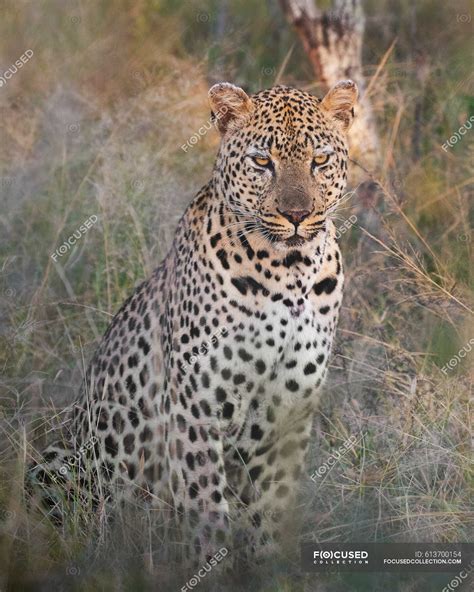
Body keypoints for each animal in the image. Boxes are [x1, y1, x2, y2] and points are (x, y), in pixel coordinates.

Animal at [27, 77, 358, 564]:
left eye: (320, 161)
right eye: (263, 162)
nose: (297, 216)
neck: (289, 271)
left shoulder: (291, 411)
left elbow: (274, 511)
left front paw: (271, 569)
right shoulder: (197, 405)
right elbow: (207, 508)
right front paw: (209, 566)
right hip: (58, 460)